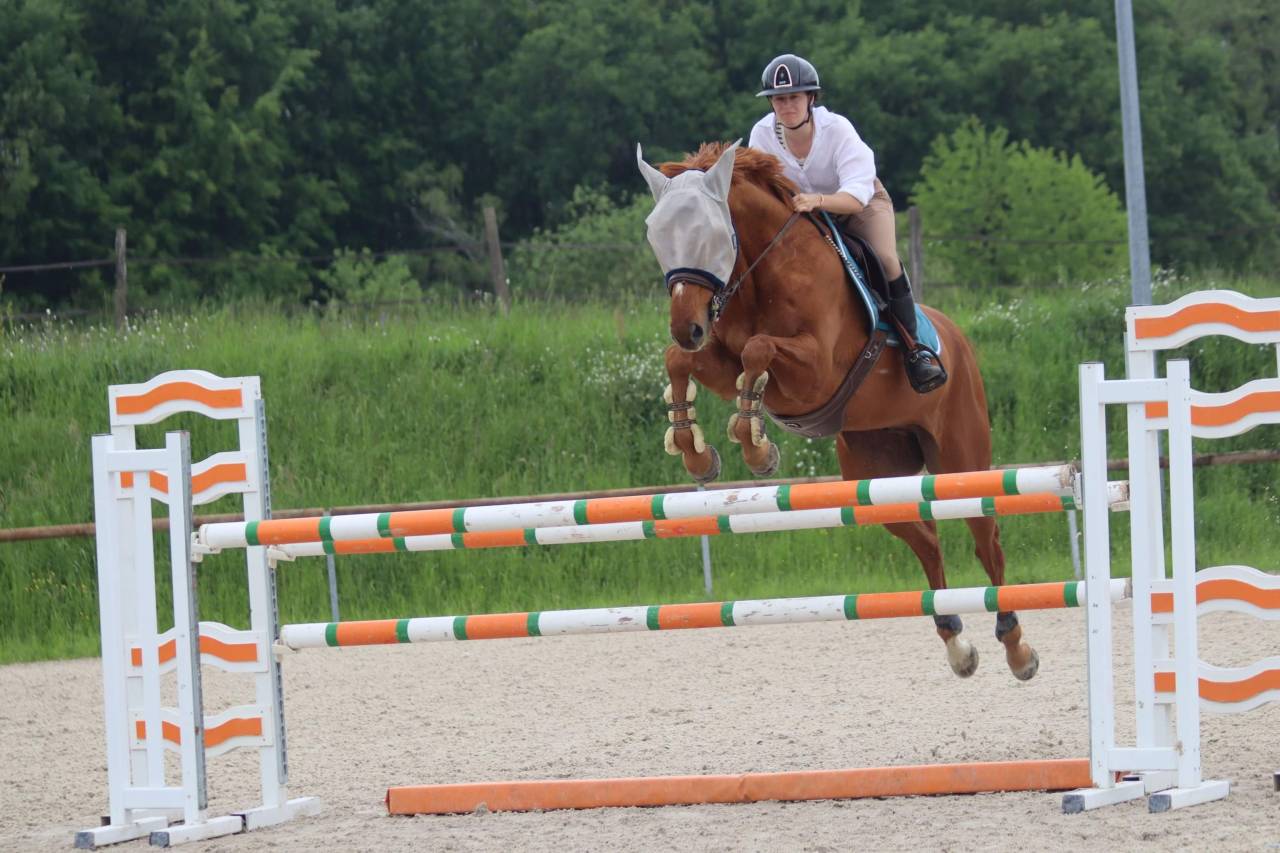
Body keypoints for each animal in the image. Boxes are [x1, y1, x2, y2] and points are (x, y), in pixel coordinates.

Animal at [636, 140, 1038, 681]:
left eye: (710, 234)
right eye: (656, 234)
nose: (686, 326)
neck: (760, 273)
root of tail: (957, 337)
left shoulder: (815, 372)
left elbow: (758, 351)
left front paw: (756, 447)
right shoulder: (717, 358)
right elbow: (682, 361)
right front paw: (697, 452)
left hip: (962, 459)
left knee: (986, 539)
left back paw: (1017, 647)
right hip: (877, 477)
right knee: (927, 541)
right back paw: (957, 645)